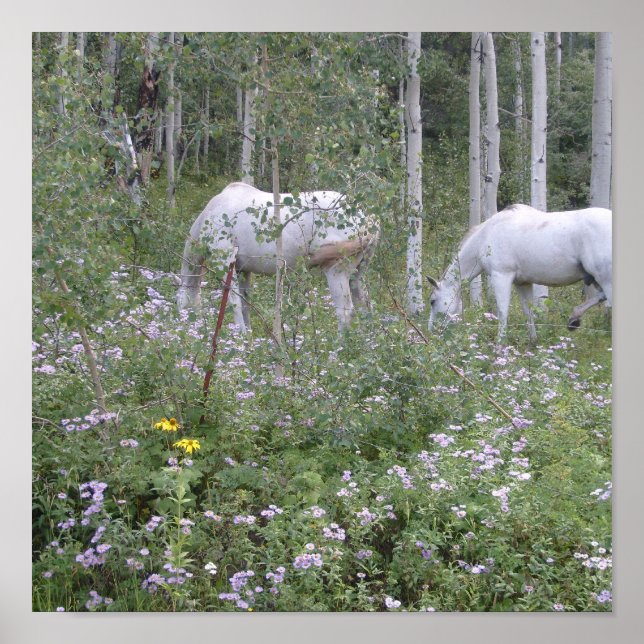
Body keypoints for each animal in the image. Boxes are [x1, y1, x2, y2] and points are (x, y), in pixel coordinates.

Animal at [175, 182, 379, 332]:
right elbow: (245, 303)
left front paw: (240, 337)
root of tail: (368, 219)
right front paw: (248, 339)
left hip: (336, 271)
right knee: (364, 307)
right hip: (358, 274)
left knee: (345, 314)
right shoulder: (242, 270)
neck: (210, 217)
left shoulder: (225, 262)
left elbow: (234, 304)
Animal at [427, 204, 612, 342]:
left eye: (432, 301)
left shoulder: (501, 276)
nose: (431, 332)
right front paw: (533, 343)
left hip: (606, 280)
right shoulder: (523, 283)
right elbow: (528, 312)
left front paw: (500, 347)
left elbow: (502, 313)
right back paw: (574, 318)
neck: (486, 236)